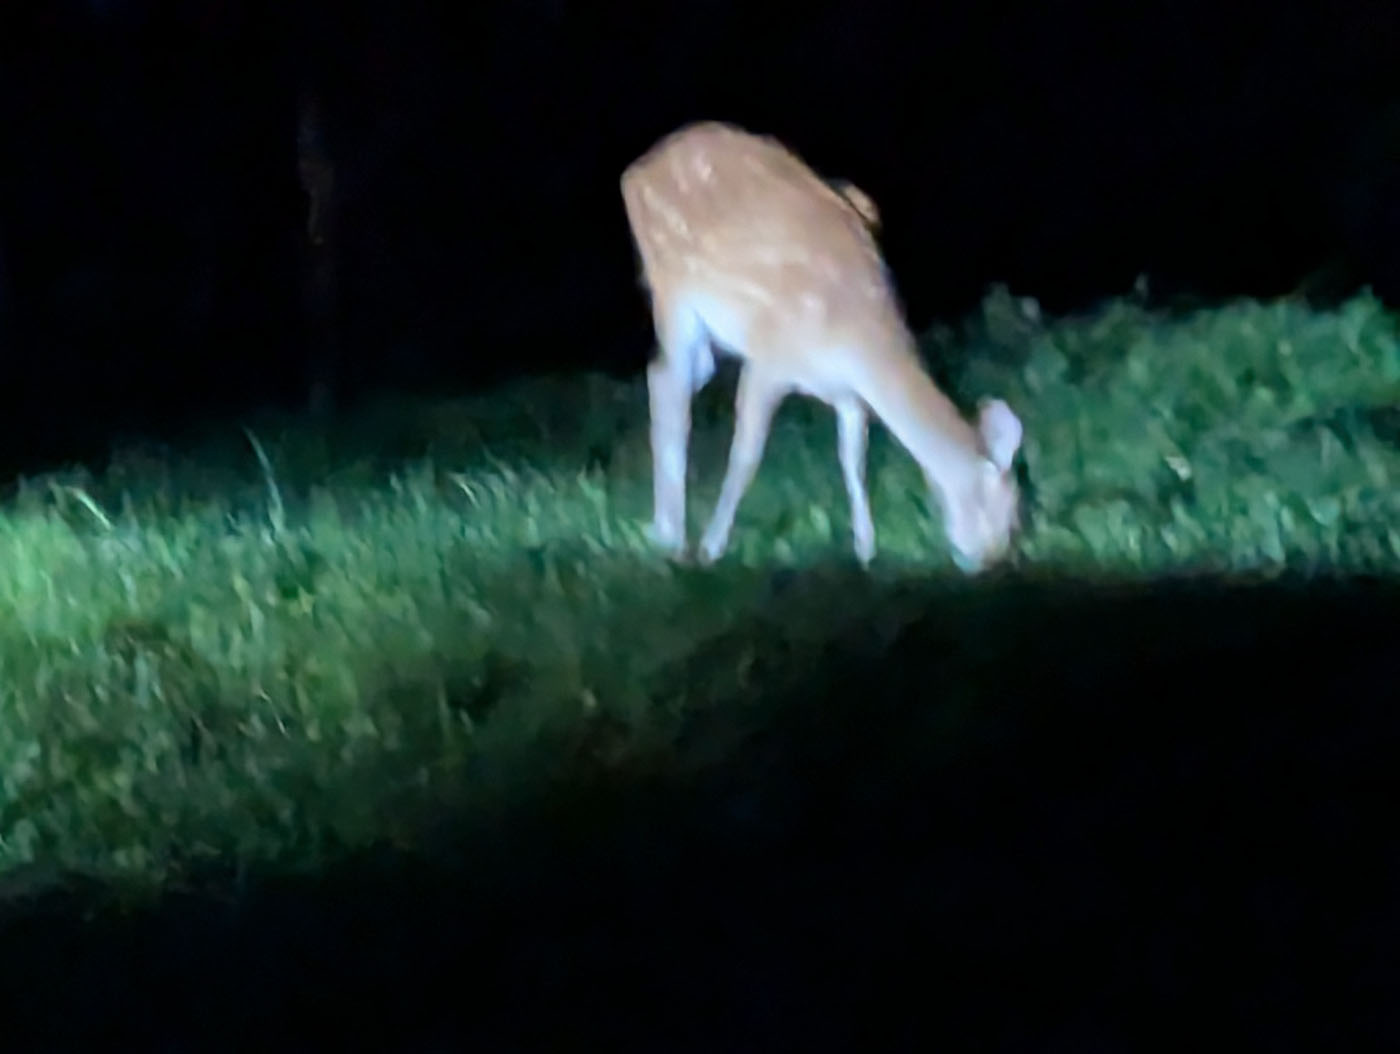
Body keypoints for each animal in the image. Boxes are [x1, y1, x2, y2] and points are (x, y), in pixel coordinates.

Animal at [620, 120, 1025, 572]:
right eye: (1009, 515)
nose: (990, 563)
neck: (856, 336)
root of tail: (637, 168)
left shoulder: (849, 394)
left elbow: (854, 458)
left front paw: (866, 552)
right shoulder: (768, 360)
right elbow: (745, 457)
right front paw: (711, 548)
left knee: (680, 377)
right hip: (673, 291)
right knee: (667, 379)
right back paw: (670, 539)